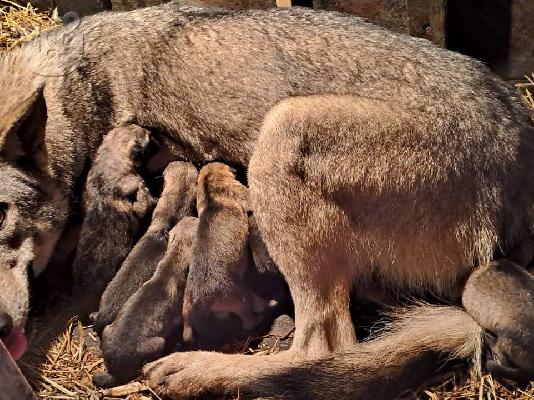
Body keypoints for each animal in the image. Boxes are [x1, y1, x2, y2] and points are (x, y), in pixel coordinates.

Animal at [94, 216, 199, 388]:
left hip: (107, 330)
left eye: (186, 222)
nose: (193, 217)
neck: (171, 265)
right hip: (158, 342)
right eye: (195, 226)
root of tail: (114, 371)